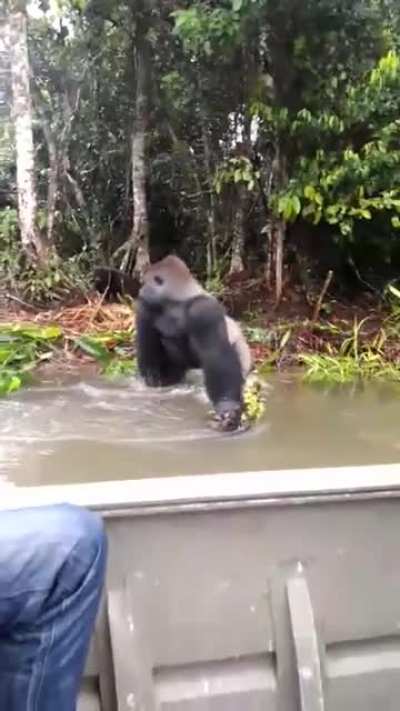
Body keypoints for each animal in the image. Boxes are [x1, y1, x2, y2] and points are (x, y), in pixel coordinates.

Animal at [136, 255, 252, 431]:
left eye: (144, 282)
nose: (140, 291)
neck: (179, 299)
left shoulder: (204, 310)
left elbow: (216, 355)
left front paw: (227, 407)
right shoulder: (146, 308)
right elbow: (148, 355)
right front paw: (155, 380)